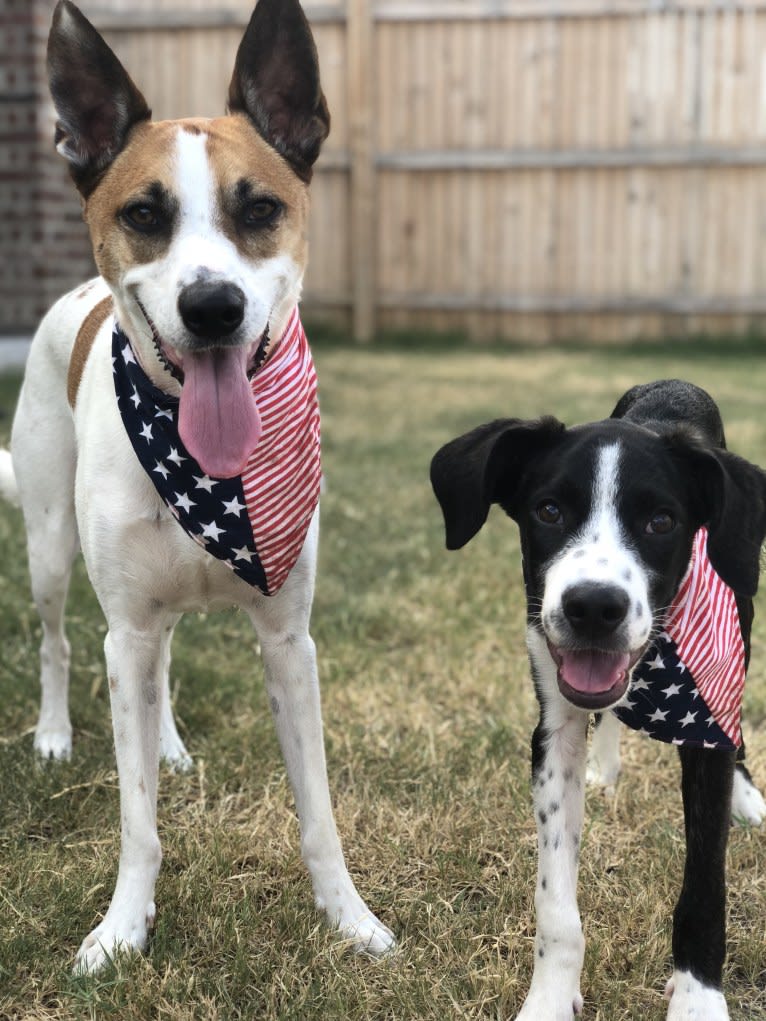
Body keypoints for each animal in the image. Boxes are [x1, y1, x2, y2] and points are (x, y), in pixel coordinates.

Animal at [0, 0, 396, 971]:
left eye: (260, 208)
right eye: (145, 213)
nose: (213, 307)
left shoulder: (289, 640)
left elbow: (319, 813)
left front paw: (349, 919)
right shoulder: (125, 629)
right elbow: (137, 820)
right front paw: (121, 929)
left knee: (163, 666)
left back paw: (172, 745)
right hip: (51, 548)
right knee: (58, 640)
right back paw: (56, 734)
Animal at [433, 381, 766, 1021]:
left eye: (662, 521)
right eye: (549, 511)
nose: (592, 606)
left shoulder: (704, 720)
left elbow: (704, 888)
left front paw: (698, 1001)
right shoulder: (553, 733)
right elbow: (556, 905)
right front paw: (549, 999)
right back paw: (607, 764)